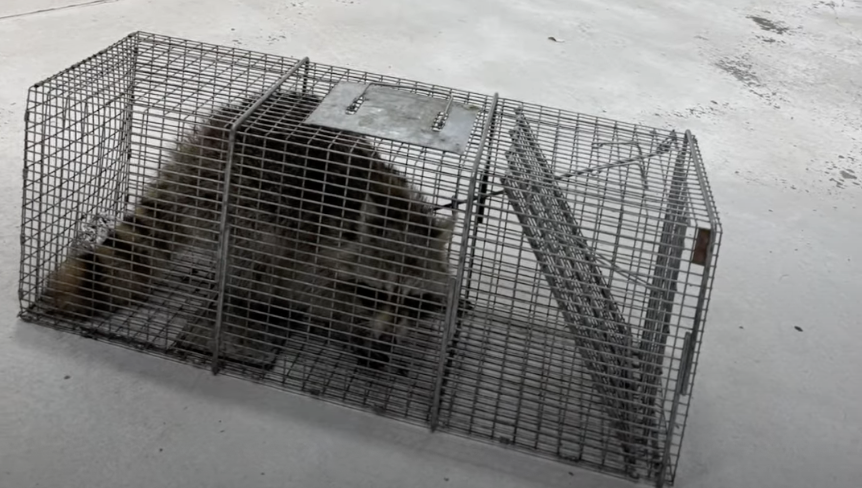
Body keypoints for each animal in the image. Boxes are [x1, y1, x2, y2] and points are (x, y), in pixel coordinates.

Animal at [35, 90, 455, 371]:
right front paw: (349, 326)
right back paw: (258, 296)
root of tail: (197, 150)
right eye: (373, 292)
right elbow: (318, 290)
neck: (396, 210)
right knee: (254, 251)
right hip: (237, 195)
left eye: (415, 301)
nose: (386, 337)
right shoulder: (314, 243)